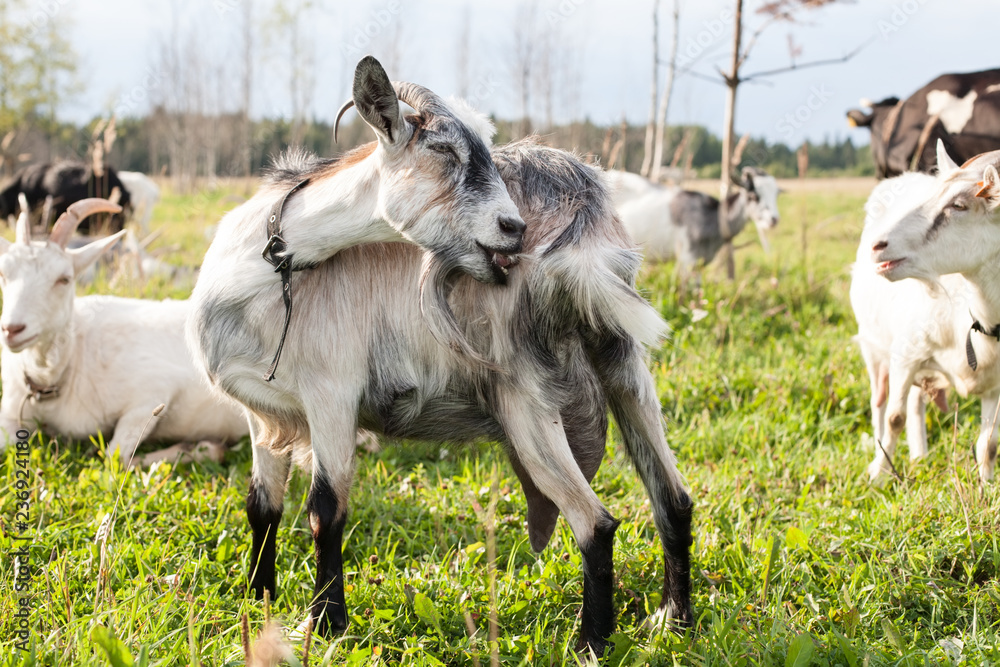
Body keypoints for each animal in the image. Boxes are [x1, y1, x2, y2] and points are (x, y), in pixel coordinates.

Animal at [853, 140, 1000, 483]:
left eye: (958, 206)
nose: (878, 245)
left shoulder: (996, 384)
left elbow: (989, 444)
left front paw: (986, 486)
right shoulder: (904, 353)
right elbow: (894, 417)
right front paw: (879, 476)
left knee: (917, 401)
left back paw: (920, 456)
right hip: (874, 346)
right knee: (880, 403)